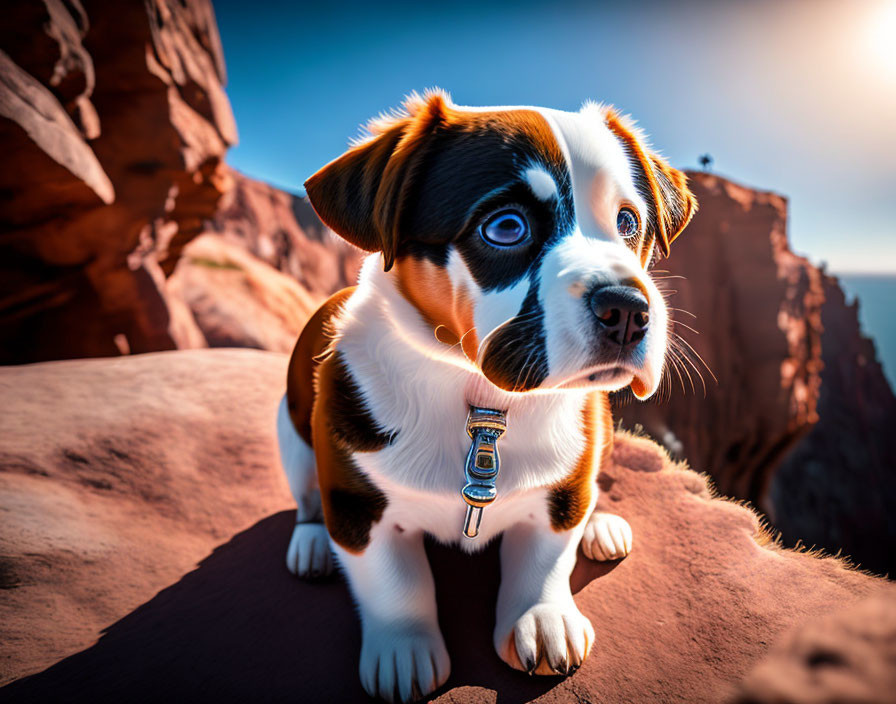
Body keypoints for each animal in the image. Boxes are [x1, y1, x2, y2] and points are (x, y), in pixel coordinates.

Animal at [276, 91, 696, 700]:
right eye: (506, 227)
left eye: (628, 222)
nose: (629, 310)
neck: (485, 399)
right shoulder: (358, 502)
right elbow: (393, 583)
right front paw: (404, 652)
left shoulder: (561, 488)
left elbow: (542, 559)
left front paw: (542, 620)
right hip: (290, 432)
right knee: (307, 496)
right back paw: (310, 543)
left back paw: (600, 522)